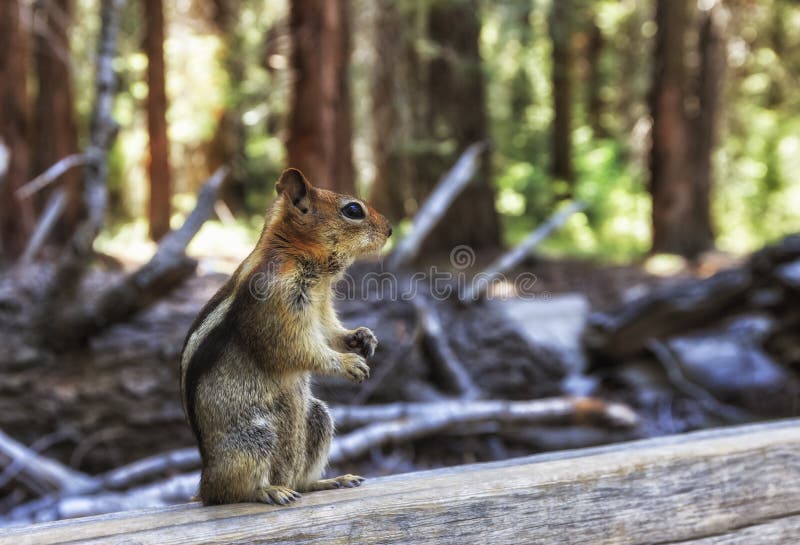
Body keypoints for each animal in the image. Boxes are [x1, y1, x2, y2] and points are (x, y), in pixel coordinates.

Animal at [182, 168, 394, 504]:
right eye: (353, 210)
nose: (390, 229)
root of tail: (203, 483)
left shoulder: (320, 308)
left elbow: (328, 332)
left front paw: (361, 337)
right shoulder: (277, 303)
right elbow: (295, 349)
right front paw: (348, 363)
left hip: (317, 417)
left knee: (302, 481)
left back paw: (329, 481)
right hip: (253, 439)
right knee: (229, 492)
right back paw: (269, 491)